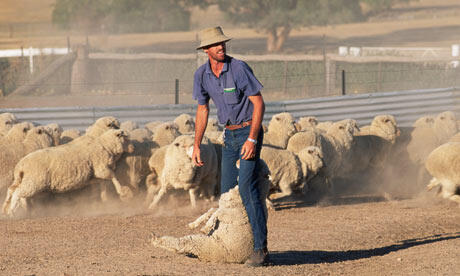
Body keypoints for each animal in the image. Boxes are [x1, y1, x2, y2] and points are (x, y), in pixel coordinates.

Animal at [2, 128, 133, 217]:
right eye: (126, 137)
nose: (133, 148)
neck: (106, 145)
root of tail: (20, 165)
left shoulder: (96, 174)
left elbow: (103, 184)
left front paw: (105, 199)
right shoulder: (101, 168)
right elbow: (113, 177)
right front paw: (124, 192)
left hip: (25, 180)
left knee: (12, 190)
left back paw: (12, 209)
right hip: (35, 181)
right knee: (18, 192)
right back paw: (12, 211)